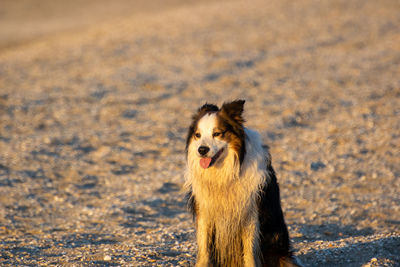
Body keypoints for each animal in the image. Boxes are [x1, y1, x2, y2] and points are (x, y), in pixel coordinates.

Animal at [184, 99, 300, 266]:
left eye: (217, 133)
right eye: (197, 135)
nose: (202, 150)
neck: (225, 174)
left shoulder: (250, 211)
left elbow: (250, 250)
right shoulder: (205, 210)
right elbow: (204, 247)